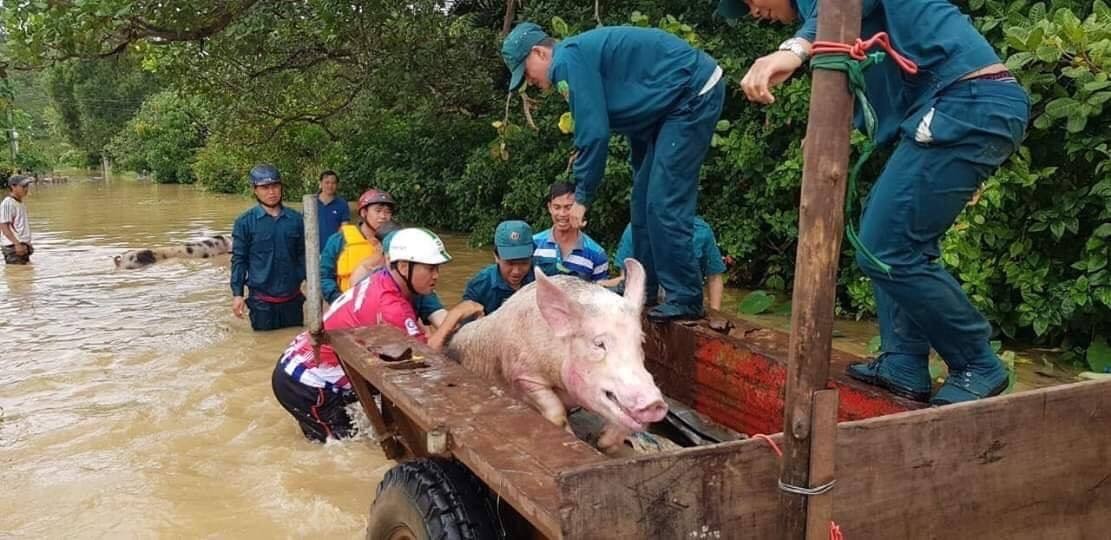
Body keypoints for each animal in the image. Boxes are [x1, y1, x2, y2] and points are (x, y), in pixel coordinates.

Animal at [448, 260, 666, 453]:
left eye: (641, 341)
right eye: (598, 344)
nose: (655, 403)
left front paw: (602, 443)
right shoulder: (523, 375)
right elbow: (555, 411)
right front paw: (571, 436)